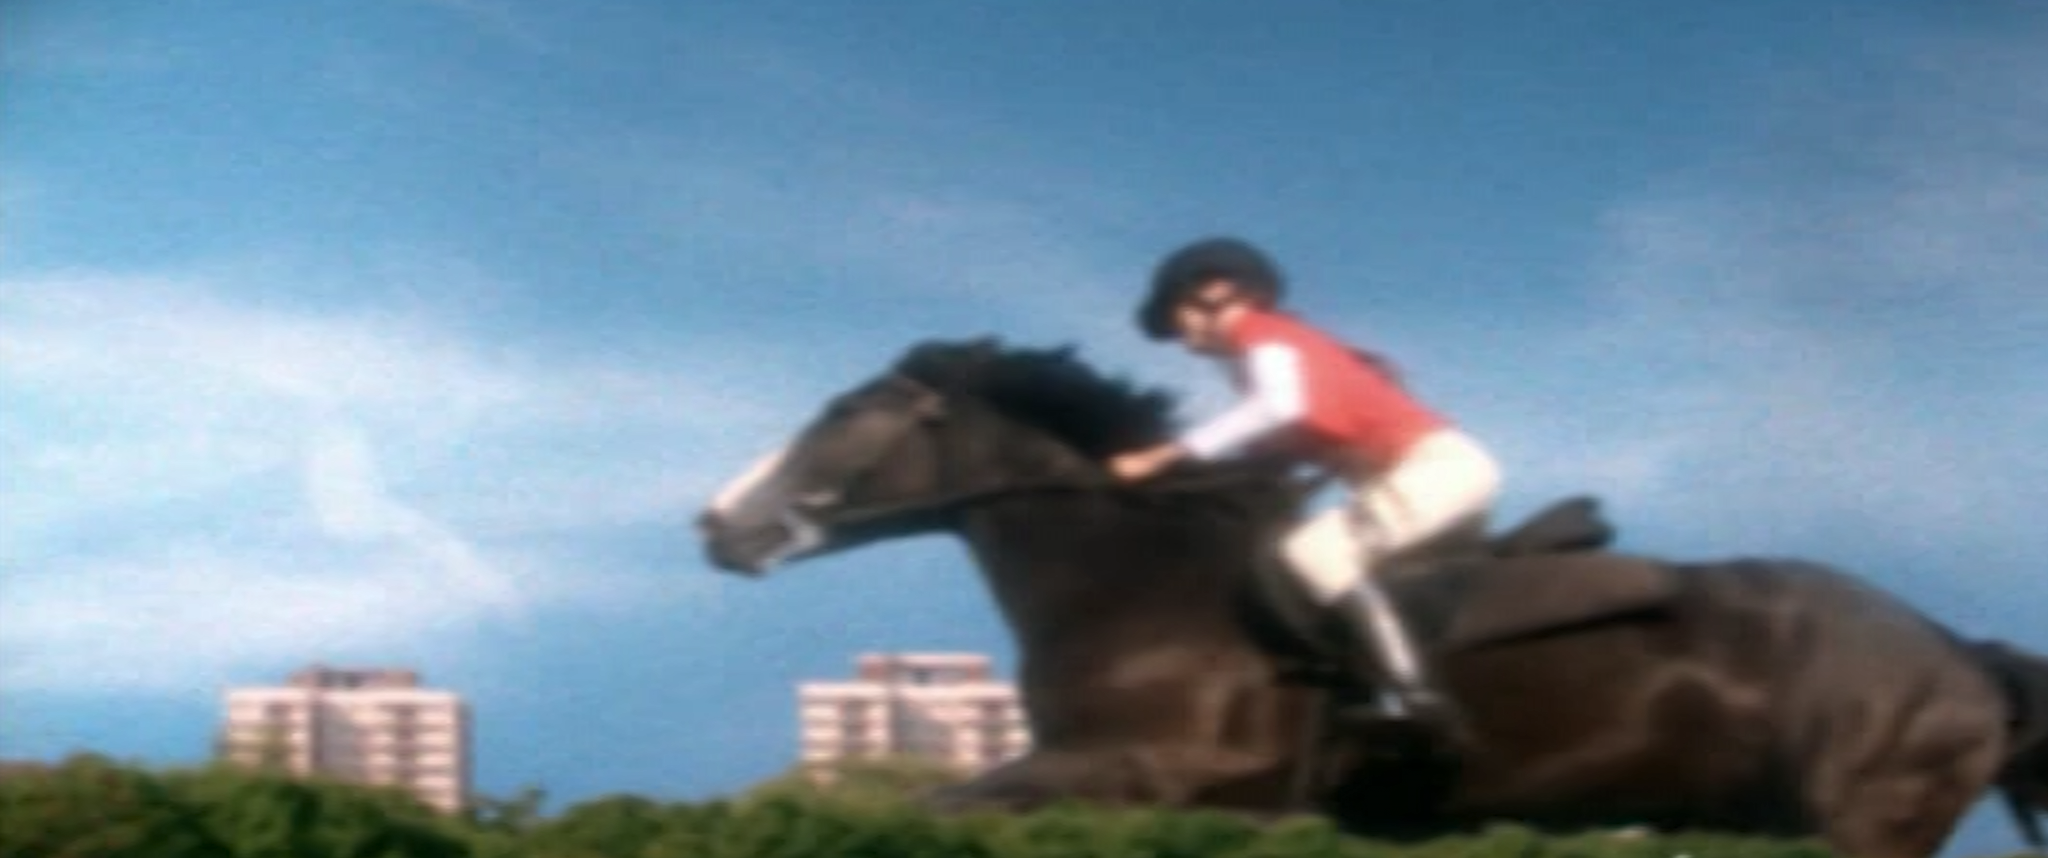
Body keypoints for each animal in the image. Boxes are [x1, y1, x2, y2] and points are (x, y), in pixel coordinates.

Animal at [694, 336, 2012, 858]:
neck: (1145, 587)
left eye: (844, 414)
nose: (717, 526)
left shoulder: (1147, 773)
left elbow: (936, 806)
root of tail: (1952, 649)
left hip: (1864, 822)